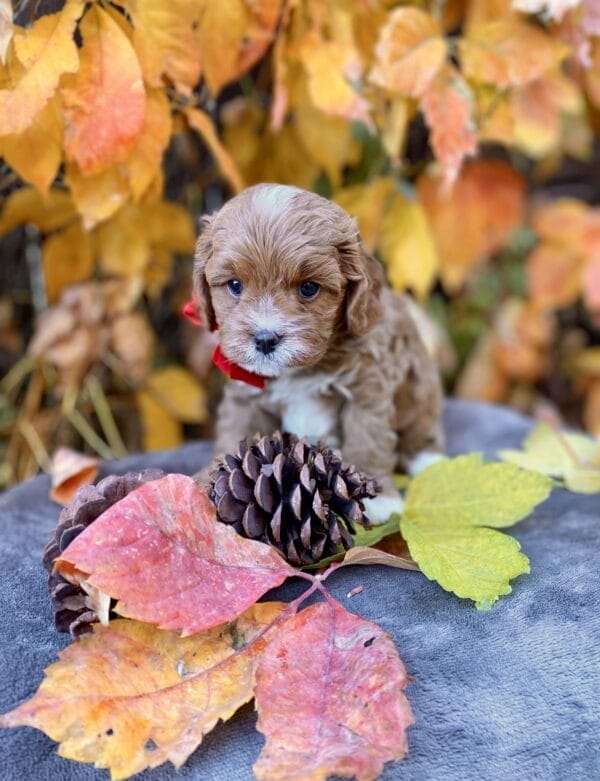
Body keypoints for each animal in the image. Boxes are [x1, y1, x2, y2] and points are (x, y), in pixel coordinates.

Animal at [195, 184, 442, 524]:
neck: (300, 369)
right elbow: (235, 430)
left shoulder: (368, 389)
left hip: (420, 385)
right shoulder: (245, 394)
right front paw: (213, 477)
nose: (265, 339)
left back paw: (428, 458)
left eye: (309, 288)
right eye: (234, 285)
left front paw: (379, 499)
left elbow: (367, 437)